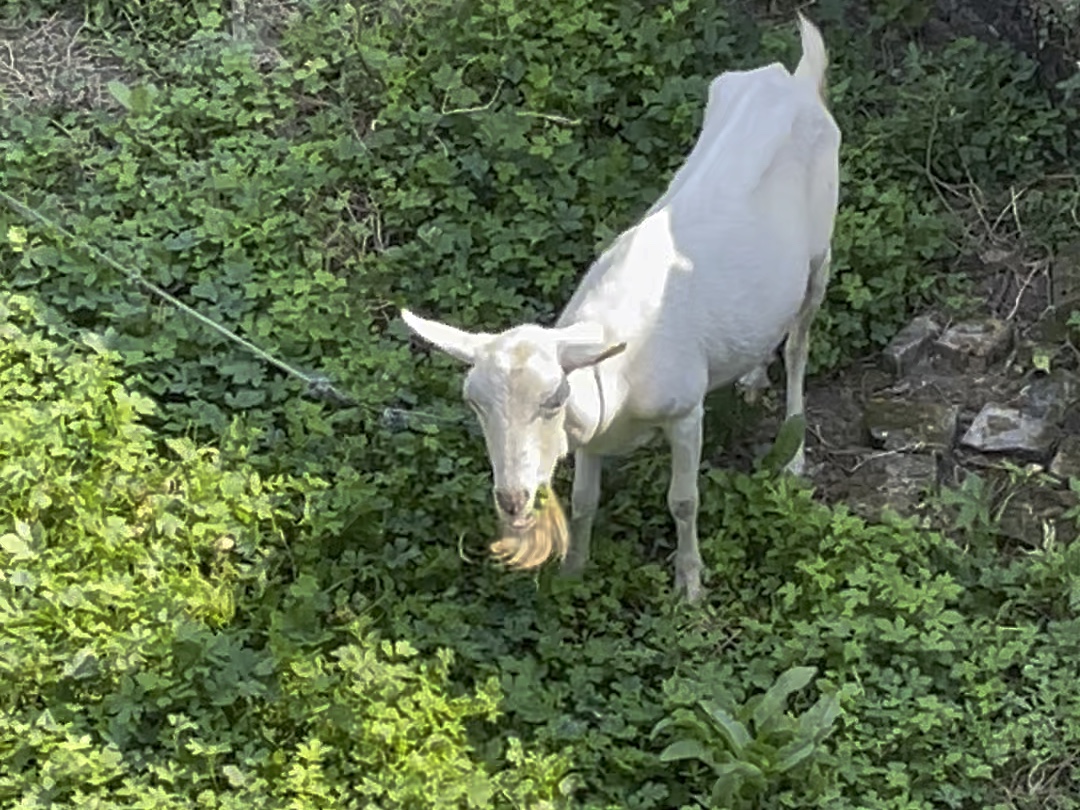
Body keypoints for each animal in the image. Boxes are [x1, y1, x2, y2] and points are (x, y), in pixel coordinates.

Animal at [401, 14, 838, 604]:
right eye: (473, 402)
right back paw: (750, 378)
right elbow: (584, 502)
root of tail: (794, 79)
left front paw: (690, 587)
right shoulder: (590, 437)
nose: (512, 500)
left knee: (799, 343)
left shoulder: (685, 409)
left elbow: (684, 501)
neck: (619, 385)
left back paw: (793, 454)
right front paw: (571, 574)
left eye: (553, 398)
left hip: (821, 248)